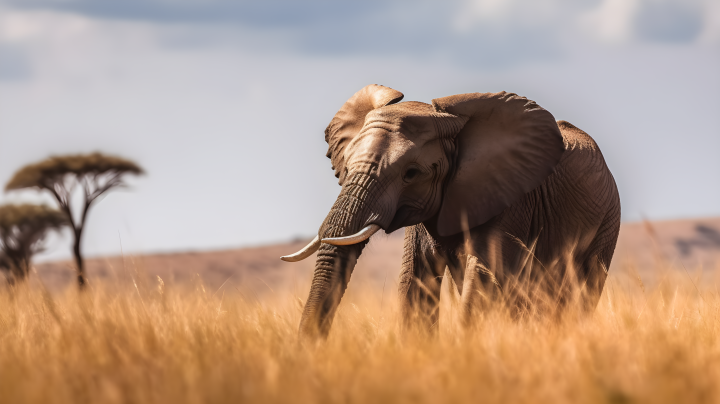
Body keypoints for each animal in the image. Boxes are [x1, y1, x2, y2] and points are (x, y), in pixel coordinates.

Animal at [284, 83, 620, 340]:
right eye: (347, 166)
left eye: (411, 173)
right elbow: (415, 283)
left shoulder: (509, 200)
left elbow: (481, 282)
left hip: (607, 225)